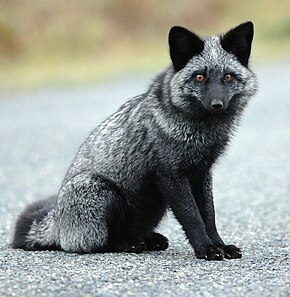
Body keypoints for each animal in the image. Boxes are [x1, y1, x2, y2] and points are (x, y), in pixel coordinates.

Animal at [13, 22, 258, 260]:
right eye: (200, 77)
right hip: (102, 192)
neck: (201, 133)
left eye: (227, 77)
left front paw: (220, 245)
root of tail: (58, 224)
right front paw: (207, 249)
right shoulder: (171, 175)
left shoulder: (201, 173)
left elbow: (209, 216)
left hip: (155, 204)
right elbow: (193, 218)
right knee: (96, 243)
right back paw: (129, 245)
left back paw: (148, 240)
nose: (217, 105)